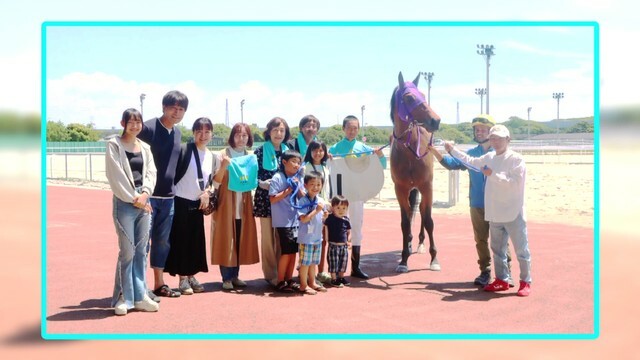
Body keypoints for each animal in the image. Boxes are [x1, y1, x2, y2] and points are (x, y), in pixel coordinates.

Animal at [388, 71, 442, 272]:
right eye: (409, 98)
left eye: (424, 95)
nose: (435, 120)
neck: (410, 152)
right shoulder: (400, 189)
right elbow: (405, 222)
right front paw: (403, 260)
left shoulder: (427, 186)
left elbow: (429, 221)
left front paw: (434, 259)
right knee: (413, 213)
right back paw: (411, 244)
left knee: (423, 213)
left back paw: (420, 243)